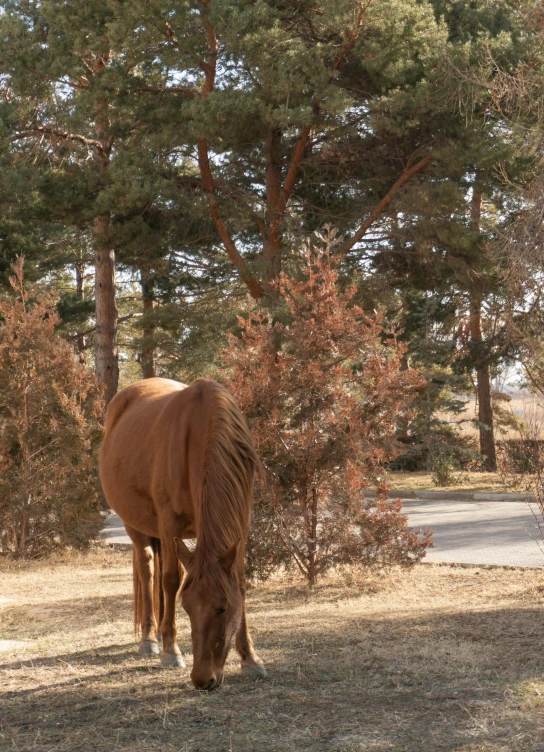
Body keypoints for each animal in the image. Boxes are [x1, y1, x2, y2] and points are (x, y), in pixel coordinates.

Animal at [99, 378, 266, 692]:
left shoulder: (242, 524)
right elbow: (171, 581)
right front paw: (171, 651)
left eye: (222, 608)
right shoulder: (169, 523)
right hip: (135, 525)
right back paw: (151, 639)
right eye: (187, 608)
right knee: (149, 570)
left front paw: (250, 658)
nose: (202, 679)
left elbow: (239, 582)